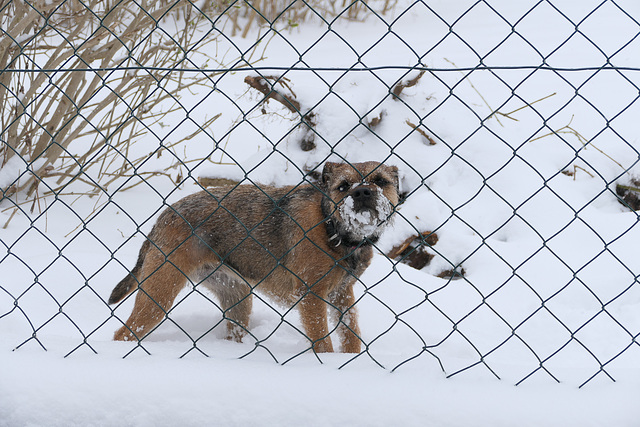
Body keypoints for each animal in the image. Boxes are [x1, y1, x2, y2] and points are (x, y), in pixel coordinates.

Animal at [110, 161, 400, 354]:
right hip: (159, 293)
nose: (362, 192)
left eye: (380, 181)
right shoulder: (311, 296)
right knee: (124, 332)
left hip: (237, 298)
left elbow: (351, 334)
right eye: (343, 186)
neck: (332, 227)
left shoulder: (342, 293)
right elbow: (322, 340)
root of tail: (164, 216)